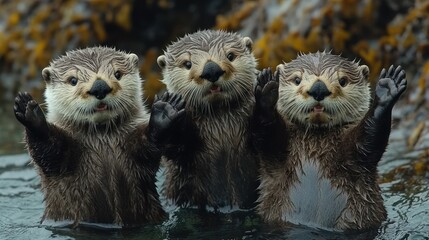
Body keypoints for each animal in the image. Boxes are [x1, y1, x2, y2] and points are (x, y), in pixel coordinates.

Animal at [12, 46, 184, 227]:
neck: (101, 138)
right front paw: (30, 113)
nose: (100, 87)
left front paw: (165, 110)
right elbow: (48, 152)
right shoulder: (61, 159)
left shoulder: (134, 147)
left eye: (117, 74)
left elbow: (148, 150)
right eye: (73, 80)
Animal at [252, 52, 406, 231]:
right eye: (297, 79)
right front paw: (267, 87)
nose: (319, 89)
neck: (316, 143)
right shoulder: (276, 157)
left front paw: (387, 89)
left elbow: (369, 142)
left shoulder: (356, 157)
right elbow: (267, 136)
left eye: (343, 81)